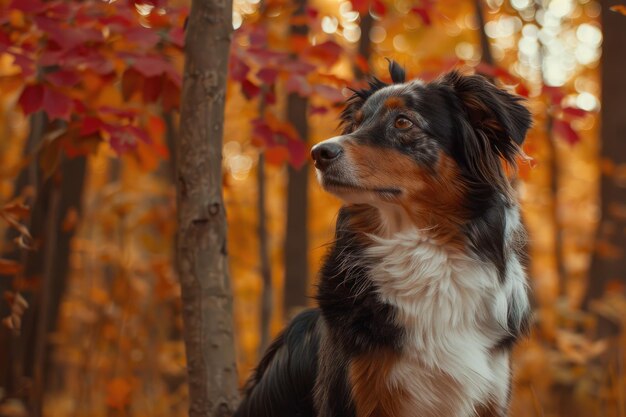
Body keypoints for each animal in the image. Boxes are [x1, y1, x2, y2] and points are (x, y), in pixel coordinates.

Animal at [234, 61, 532, 416]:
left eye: (403, 121)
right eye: (357, 123)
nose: (318, 153)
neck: (420, 250)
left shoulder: (491, 394)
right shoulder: (355, 395)